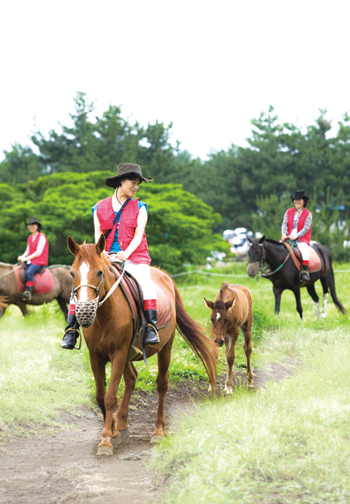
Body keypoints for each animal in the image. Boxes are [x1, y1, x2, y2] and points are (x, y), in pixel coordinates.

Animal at [67, 236, 217, 456]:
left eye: (99, 272)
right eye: (72, 273)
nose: (84, 311)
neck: (104, 316)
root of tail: (164, 275)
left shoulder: (119, 353)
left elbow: (110, 397)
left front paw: (106, 440)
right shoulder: (96, 356)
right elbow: (100, 396)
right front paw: (113, 430)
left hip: (164, 348)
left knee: (162, 384)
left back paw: (158, 430)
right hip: (128, 353)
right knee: (131, 378)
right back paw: (122, 426)